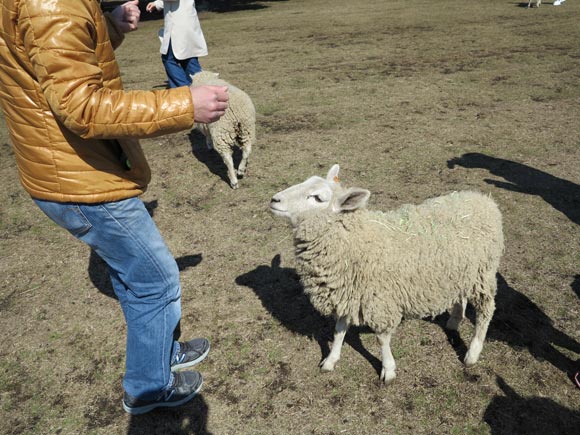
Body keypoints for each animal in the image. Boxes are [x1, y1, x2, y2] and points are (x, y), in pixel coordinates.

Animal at [270, 164, 502, 384]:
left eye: (317, 198)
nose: (274, 199)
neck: (355, 240)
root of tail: (484, 200)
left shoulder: (379, 300)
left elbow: (382, 339)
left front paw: (388, 370)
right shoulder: (347, 292)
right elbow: (339, 329)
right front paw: (331, 359)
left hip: (484, 273)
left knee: (486, 310)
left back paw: (472, 353)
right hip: (461, 272)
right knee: (461, 295)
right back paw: (454, 320)